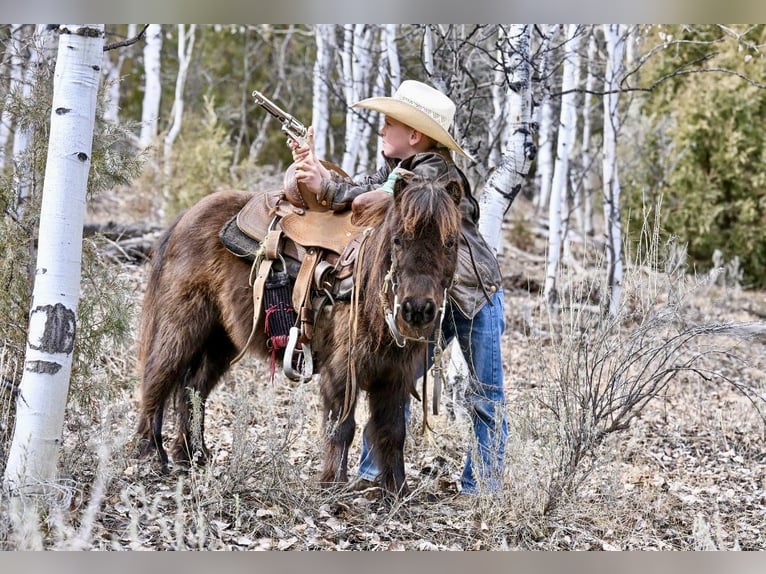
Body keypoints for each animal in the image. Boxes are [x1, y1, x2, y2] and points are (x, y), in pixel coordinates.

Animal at [134, 176, 463, 496]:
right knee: (158, 379)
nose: (417, 309)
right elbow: (341, 427)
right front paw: (333, 486)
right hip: (182, 326)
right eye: (398, 239)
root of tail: (186, 217)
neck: (368, 290)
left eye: (450, 241)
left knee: (193, 390)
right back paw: (150, 455)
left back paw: (192, 455)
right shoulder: (342, 372)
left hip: (220, 341)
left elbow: (393, 432)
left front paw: (397, 491)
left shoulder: (395, 377)